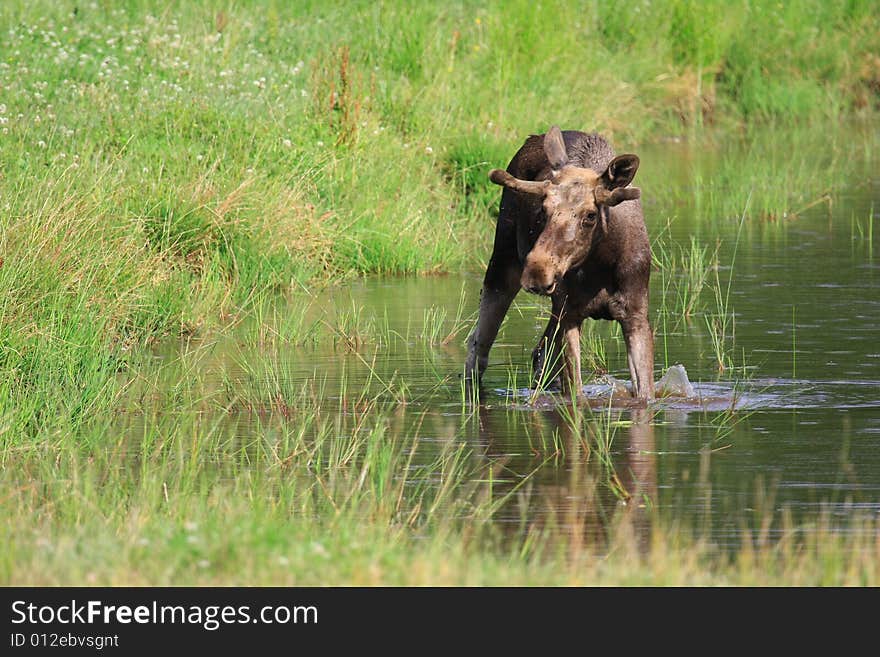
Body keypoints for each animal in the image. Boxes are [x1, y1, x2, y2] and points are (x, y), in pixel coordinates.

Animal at [468, 125, 652, 398]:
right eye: (543, 210)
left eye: (590, 215)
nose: (537, 271)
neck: (600, 265)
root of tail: (533, 138)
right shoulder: (570, 314)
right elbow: (575, 393)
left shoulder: (636, 316)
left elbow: (646, 394)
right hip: (503, 261)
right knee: (479, 344)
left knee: (540, 353)